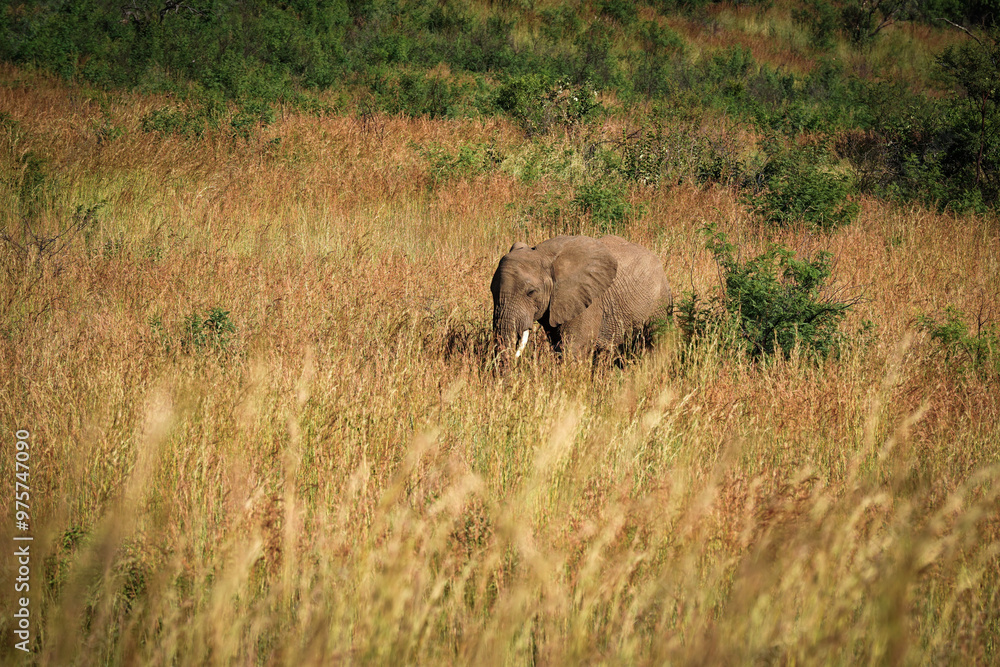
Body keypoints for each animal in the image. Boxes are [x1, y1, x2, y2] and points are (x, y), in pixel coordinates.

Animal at [490, 234, 672, 361]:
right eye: (492, 291)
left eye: (531, 292)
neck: (542, 254)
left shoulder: (587, 301)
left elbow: (571, 348)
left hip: (659, 304)